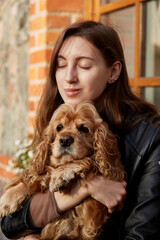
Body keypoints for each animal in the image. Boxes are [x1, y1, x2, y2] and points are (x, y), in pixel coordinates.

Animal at [0, 102, 125, 239]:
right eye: (59, 127)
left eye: (84, 128)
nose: (65, 140)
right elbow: (35, 177)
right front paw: (8, 200)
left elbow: (86, 160)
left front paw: (60, 176)